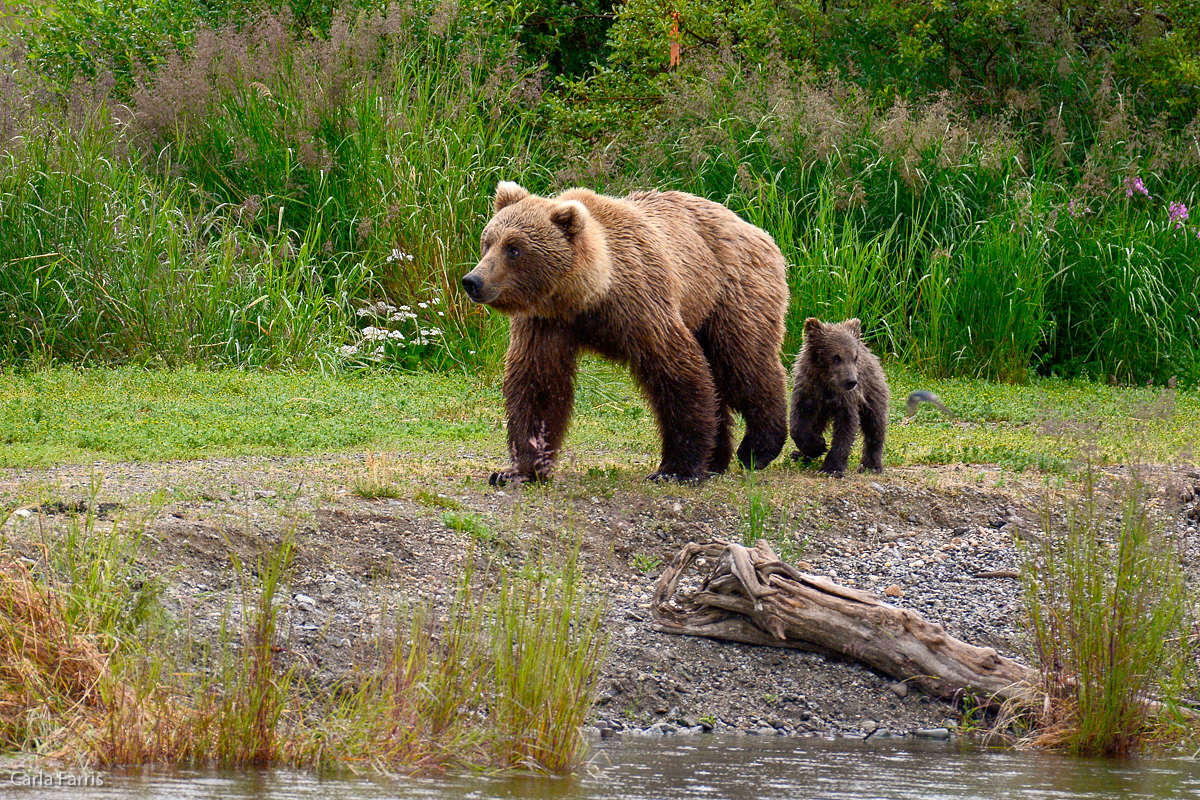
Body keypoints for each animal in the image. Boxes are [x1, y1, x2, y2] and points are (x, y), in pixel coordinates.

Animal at [463, 181, 792, 484]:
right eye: (487, 241)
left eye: (514, 248)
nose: (473, 281)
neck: (589, 296)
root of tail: (757, 230)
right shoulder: (546, 322)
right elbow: (538, 384)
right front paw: (517, 471)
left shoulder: (642, 304)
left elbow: (677, 373)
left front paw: (674, 469)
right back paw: (716, 460)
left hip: (731, 293)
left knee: (744, 362)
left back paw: (759, 447)